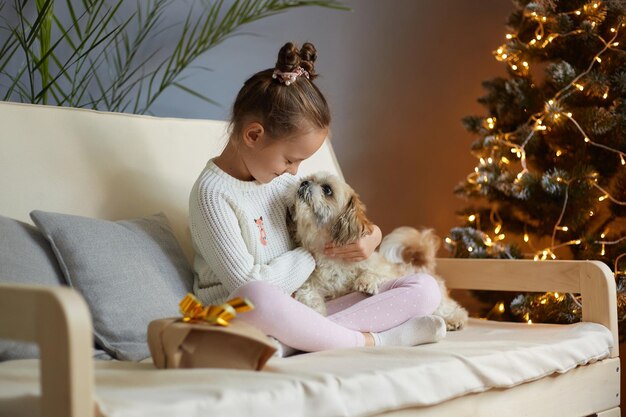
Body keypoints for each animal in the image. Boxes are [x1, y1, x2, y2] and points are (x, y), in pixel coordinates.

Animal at [286, 171, 466, 330]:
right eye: (308, 179)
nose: (304, 182)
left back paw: (454, 320)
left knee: (450, 308)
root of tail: (419, 265)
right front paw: (316, 313)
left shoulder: (383, 270)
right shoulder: (309, 285)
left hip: (438, 297)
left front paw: (366, 282)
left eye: (327, 189)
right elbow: (309, 295)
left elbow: (372, 273)